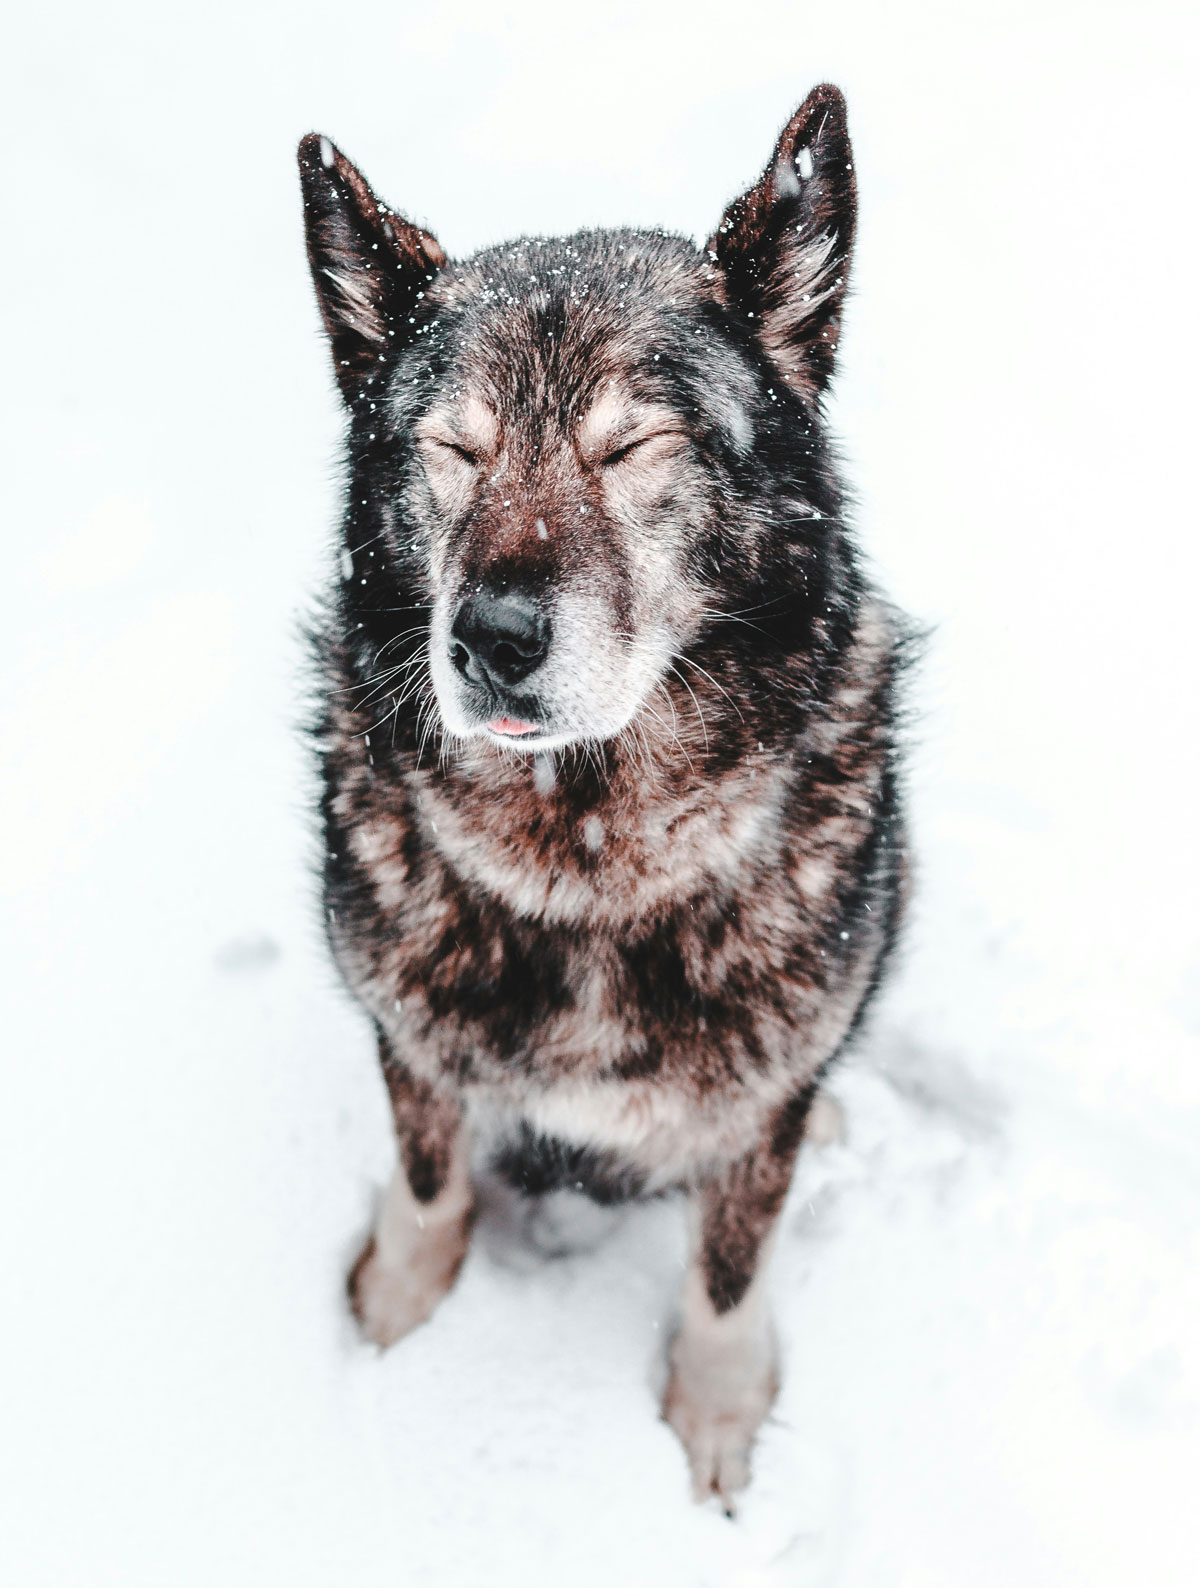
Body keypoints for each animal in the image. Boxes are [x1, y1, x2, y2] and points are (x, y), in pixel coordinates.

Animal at [300, 83, 907, 1499]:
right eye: (453, 449)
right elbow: (427, 1184)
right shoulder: (412, 1045)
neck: (584, 865)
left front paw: (718, 1414)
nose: (492, 637)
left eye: (635, 444)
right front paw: (395, 1319)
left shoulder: (750, 1131)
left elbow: (730, 1272)